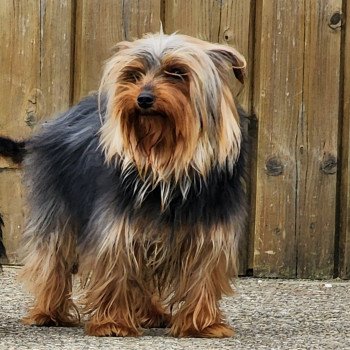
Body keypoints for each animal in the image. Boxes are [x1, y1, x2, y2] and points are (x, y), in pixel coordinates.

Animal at [0, 32, 247, 336]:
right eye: (134, 74)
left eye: (177, 72)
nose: (143, 98)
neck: (165, 163)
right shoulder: (117, 224)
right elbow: (116, 268)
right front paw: (113, 323)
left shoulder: (210, 229)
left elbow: (203, 273)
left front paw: (202, 325)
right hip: (56, 202)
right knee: (53, 256)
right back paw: (49, 313)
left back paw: (151, 314)